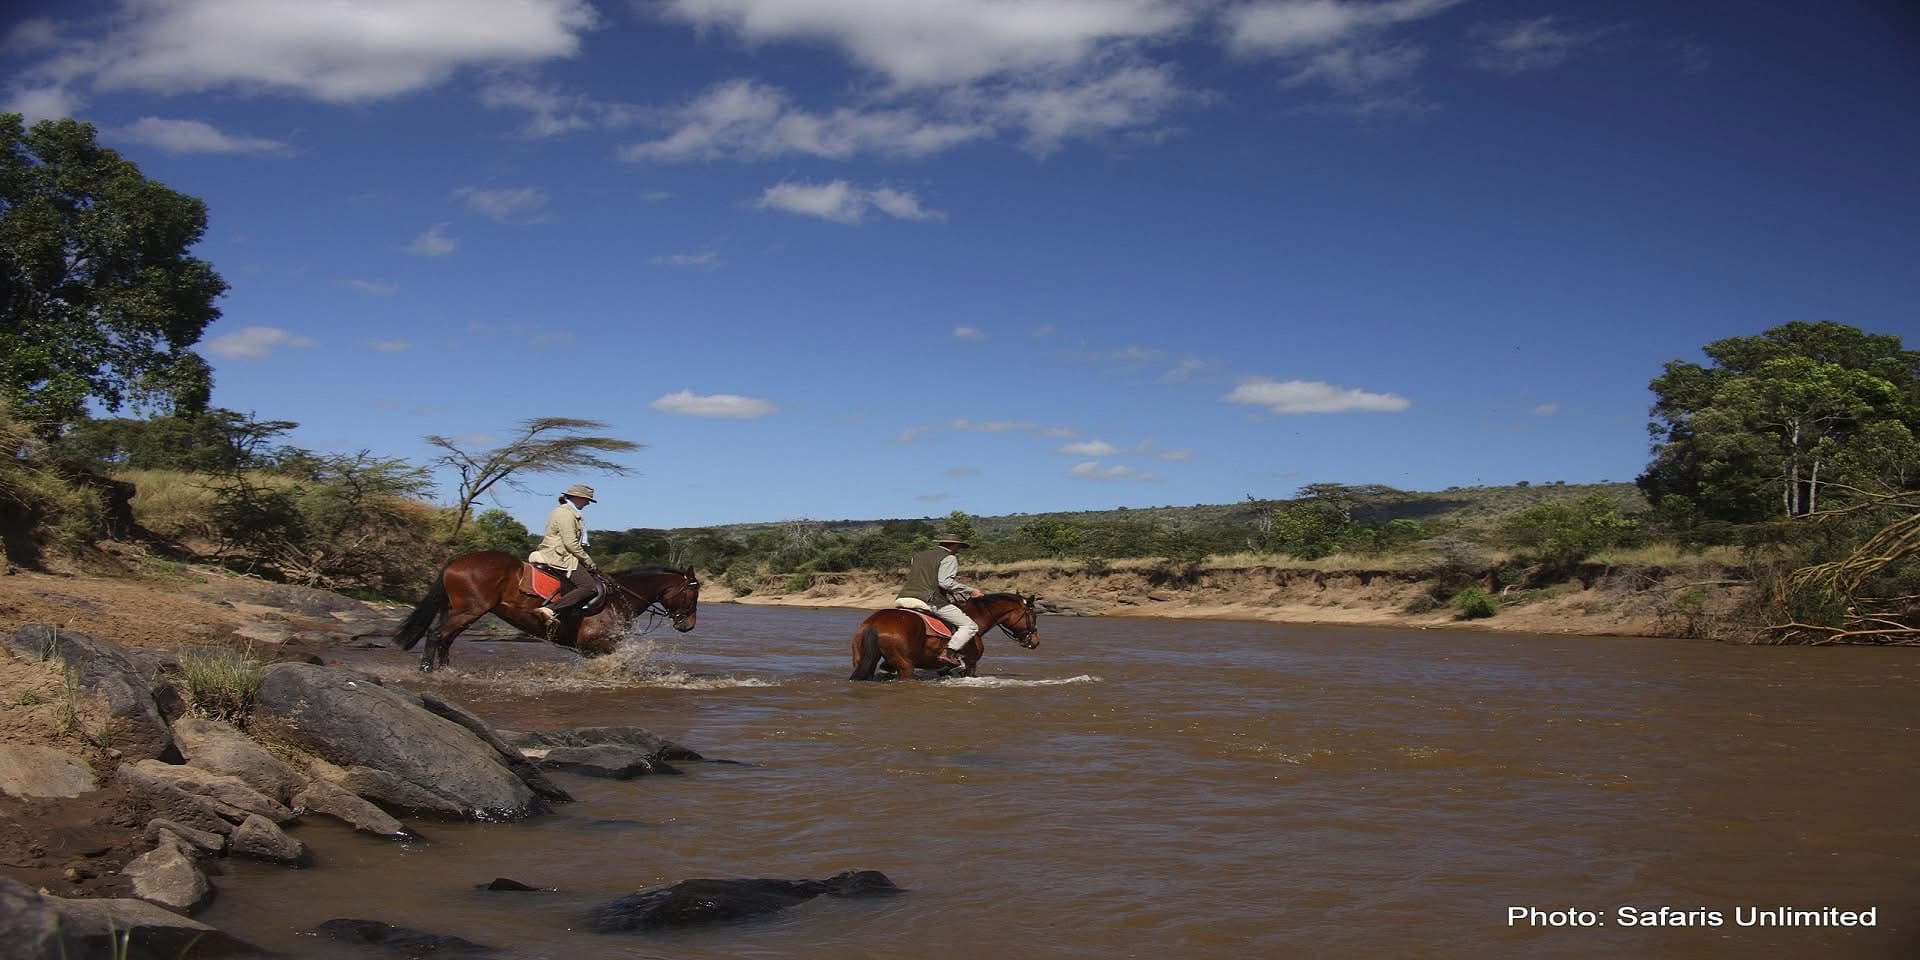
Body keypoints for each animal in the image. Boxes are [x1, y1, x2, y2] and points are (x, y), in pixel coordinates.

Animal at [393, 550, 699, 672]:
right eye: (693, 593)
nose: (689, 626)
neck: (619, 597)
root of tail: (455, 562)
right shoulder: (598, 644)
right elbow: (622, 663)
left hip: (459, 611)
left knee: (446, 637)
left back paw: (446, 669)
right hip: (470, 610)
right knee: (437, 634)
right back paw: (427, 670)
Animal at [848, 593, 1040, 681]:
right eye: (1033, 615)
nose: (1035, 641)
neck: (976, 619)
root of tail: (874, 623)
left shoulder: (945, 669)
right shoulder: (970, 664)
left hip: (862, 660)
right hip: (905, 667)